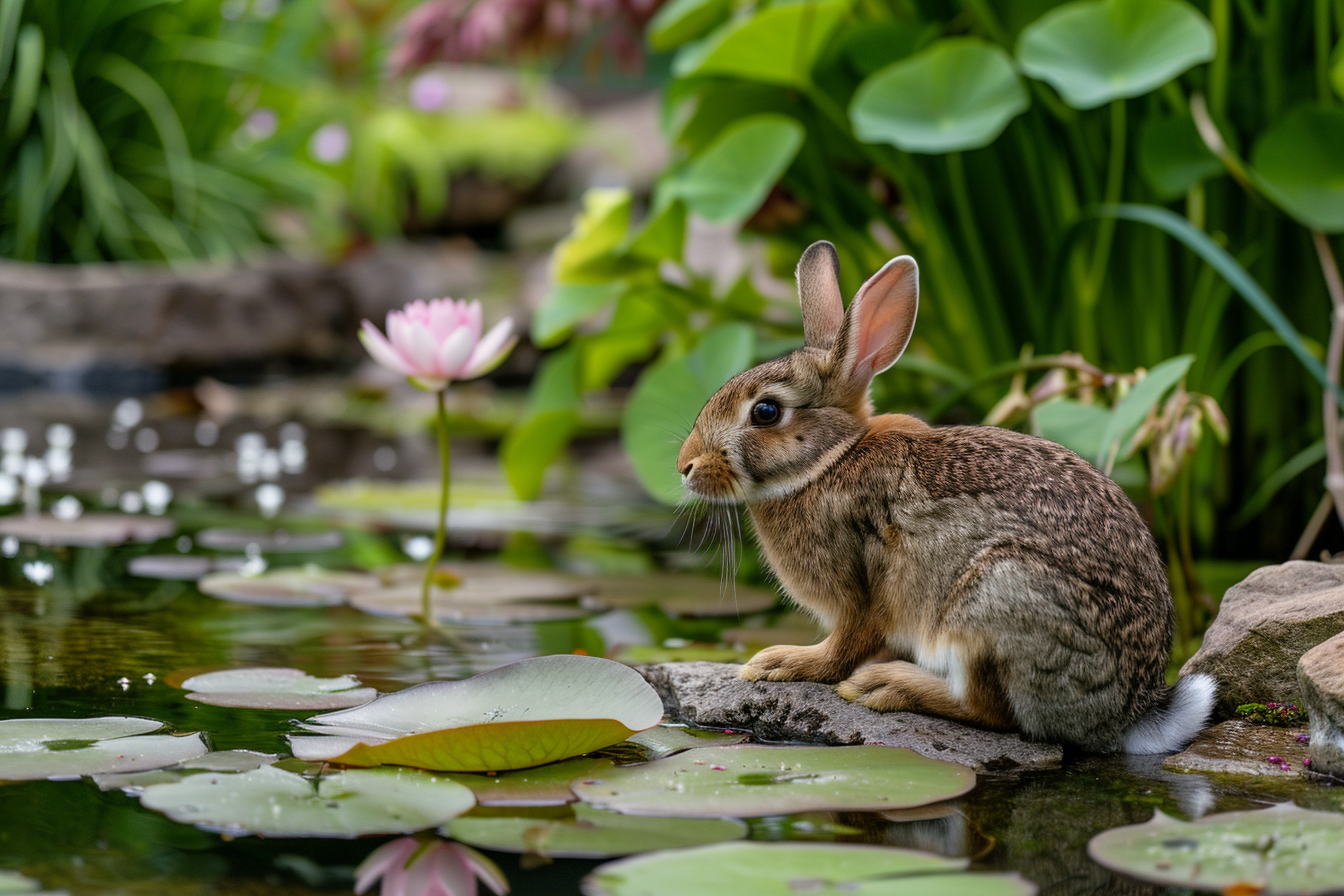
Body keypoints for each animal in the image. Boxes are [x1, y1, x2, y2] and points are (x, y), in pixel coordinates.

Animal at [675, 241, 1216, 753]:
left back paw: (885, 686)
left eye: (766, 412)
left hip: (993, 601)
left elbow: (842, 649)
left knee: (990, 711)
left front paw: (779, 663)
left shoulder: (860, 592)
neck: (829, 462)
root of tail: (1129, 713)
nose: (685, 466)